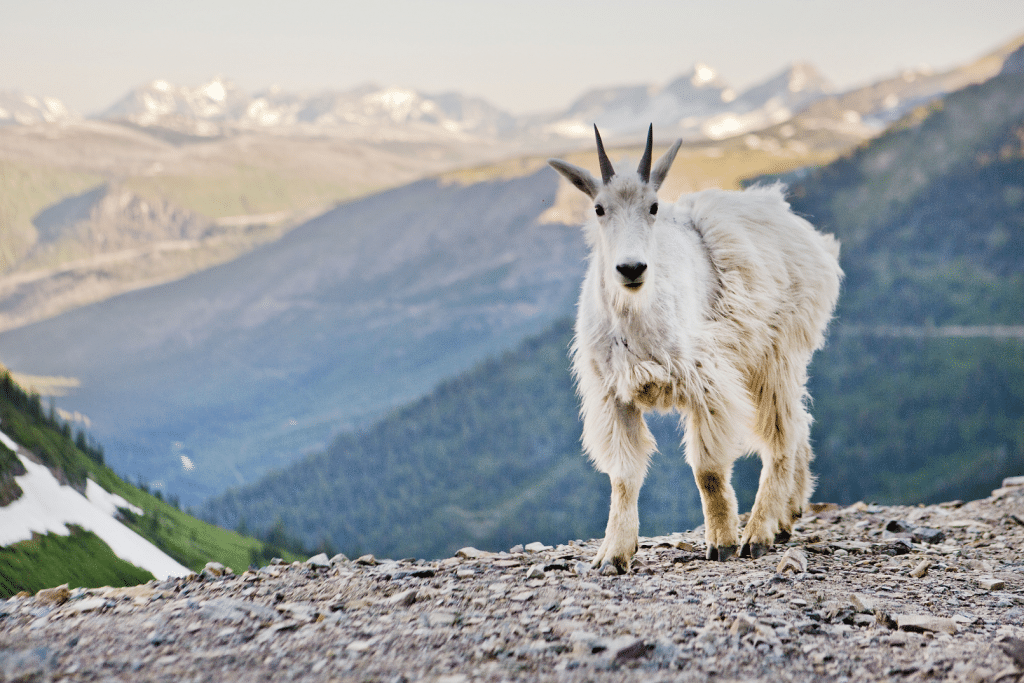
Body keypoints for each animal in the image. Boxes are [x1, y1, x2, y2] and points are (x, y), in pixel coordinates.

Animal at [548, 125, 842, 573]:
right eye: (599, 209)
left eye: (653, 207)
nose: (631, 269)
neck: (635, 319)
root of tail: (804, 232)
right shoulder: (614, 394)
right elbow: (623, 477)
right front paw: (613, 554)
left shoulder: (705, 379)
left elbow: (708, 471)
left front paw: (721, 543)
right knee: (799, 426)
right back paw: (787, 517)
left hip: (776, 354)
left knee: (783, 435)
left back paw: (759, 533)